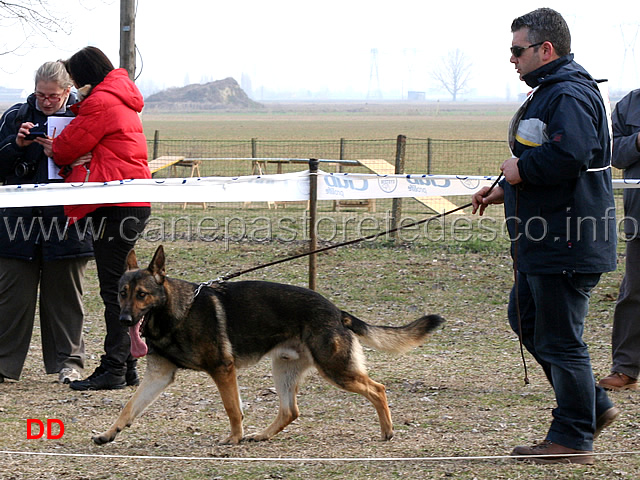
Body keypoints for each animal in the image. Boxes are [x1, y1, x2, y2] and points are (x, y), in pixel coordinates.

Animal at [92, 248, 444, 446]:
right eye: (122, 293)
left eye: (142, 295)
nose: (124, 320)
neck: (175, 312)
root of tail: (335, 310)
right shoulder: (159, 376)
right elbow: (128, 407)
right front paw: (109, 434)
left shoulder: (223, 370)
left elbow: (232, 408)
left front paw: (232, 438)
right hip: (285, 369)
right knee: (290, 410)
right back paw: (261, 435)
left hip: (335, 370)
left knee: (378, 388)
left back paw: (387, 431)